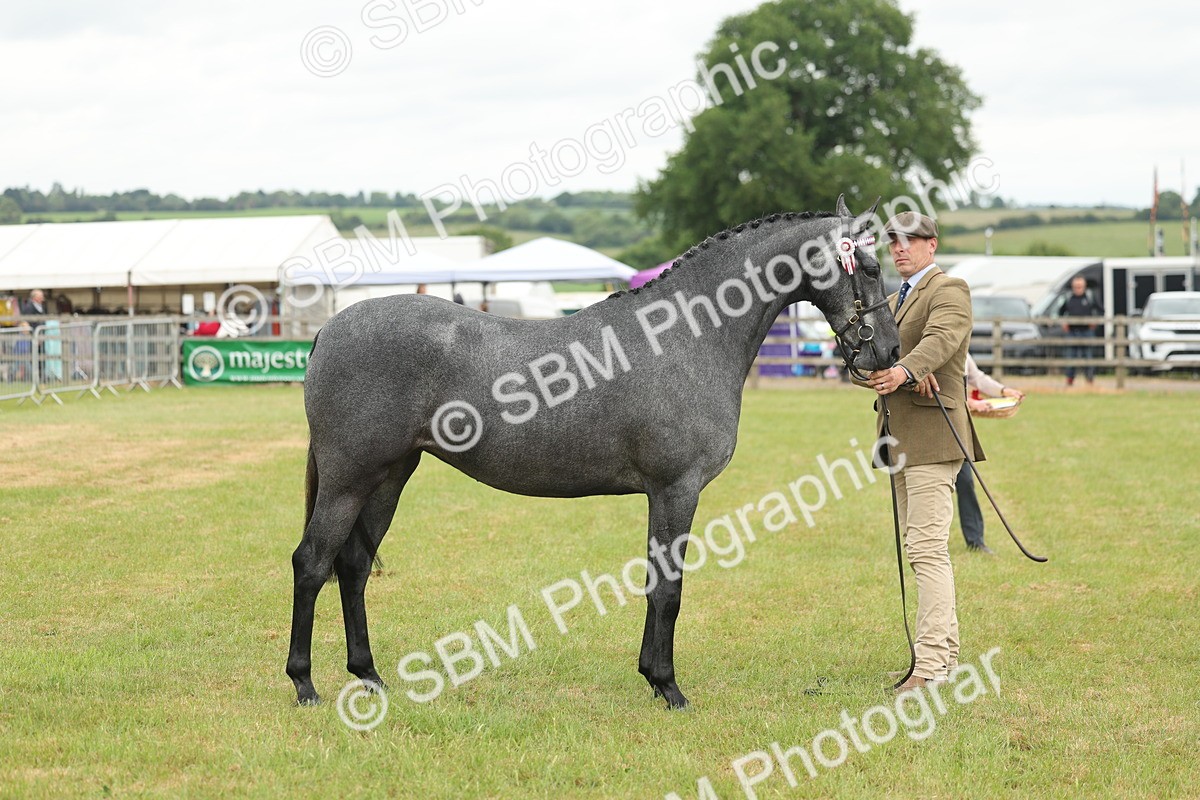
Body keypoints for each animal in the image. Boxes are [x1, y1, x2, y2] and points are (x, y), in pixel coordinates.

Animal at [287, 196, 900, 710]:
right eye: (870, 268)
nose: (889, 352)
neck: (686, 336)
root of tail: (329, 330)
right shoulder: (676, 489)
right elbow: (668, 589)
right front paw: (669, 687)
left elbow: (656, 582)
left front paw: (653, 677)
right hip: (349, 479)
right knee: (311, 563)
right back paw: (305, 684)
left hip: (389, 476)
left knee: (353, 566)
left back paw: (370, 676)